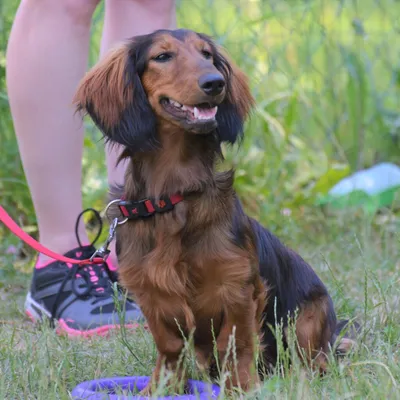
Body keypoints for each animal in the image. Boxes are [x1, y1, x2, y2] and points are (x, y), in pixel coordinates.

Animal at [73, 28, 354, 394]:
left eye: (207, 55)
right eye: (162, 56)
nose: (215, 82)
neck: (174, 195)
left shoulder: (237, 287)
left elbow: (236, 344)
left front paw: (241, 389)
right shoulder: (153, 294)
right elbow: (170, 347)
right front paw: (162, 389)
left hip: (309, 317)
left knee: (314, 360)